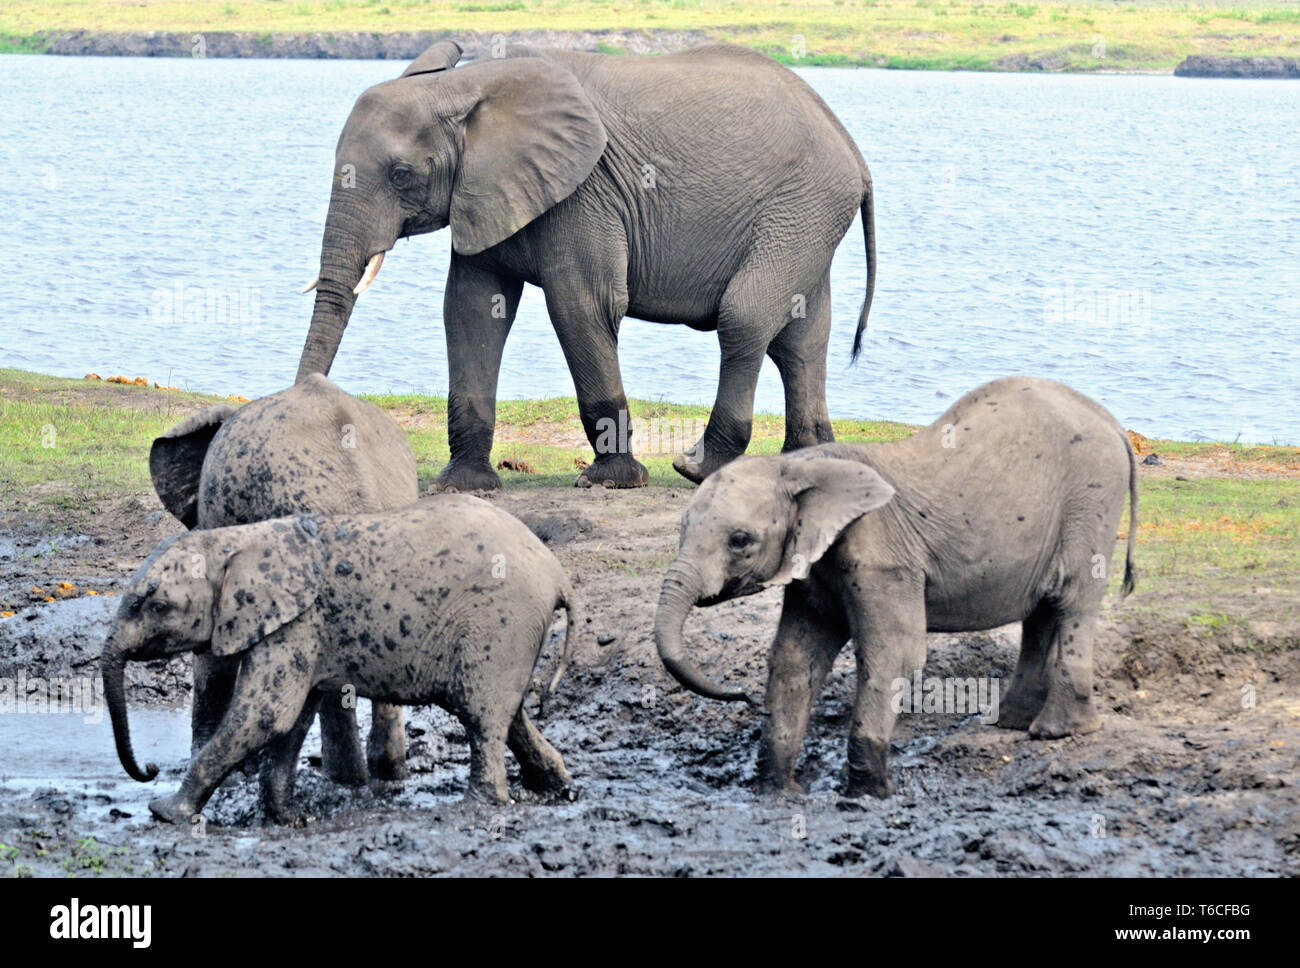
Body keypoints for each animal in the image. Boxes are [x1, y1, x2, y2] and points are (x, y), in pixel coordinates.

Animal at [102, 498, 577, 824]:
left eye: (155, 605)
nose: (150, 768)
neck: (238, 541)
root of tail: (558, 575)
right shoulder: (301, 630)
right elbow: (290, 723)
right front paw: (290, 819)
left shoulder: (296, 622)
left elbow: (264, 715)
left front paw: (165, 812)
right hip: (512, 633)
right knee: (508, 715)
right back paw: (556, 790)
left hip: (500, 621)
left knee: (481, 715)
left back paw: (479, 806)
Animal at [297, 40, 877, 491]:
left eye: (400, 175)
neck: (465, 86)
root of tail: (851, 148)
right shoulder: (483, 192)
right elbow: (471, 310)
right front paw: (461, 486)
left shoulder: (584, 193)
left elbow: (582, 305)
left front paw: (611, 480)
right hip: (808, 218)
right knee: (802, 338)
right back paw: (812, 460)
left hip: (801, 207)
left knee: (745, 318)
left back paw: (695, 468)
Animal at [652, 377, 1138, 798]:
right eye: (683, 528)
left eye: (740, 541)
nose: (742, 696)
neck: (802, 467)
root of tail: (1112, 422)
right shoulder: (814, 566)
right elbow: (796, 655)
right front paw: (780, 791)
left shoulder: (884, 558)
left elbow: (894, 655)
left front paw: (870, 795)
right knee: (1042, 610)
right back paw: (1010, 724)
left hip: (1092, 499)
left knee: (1072, 601)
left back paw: (1058, 731)